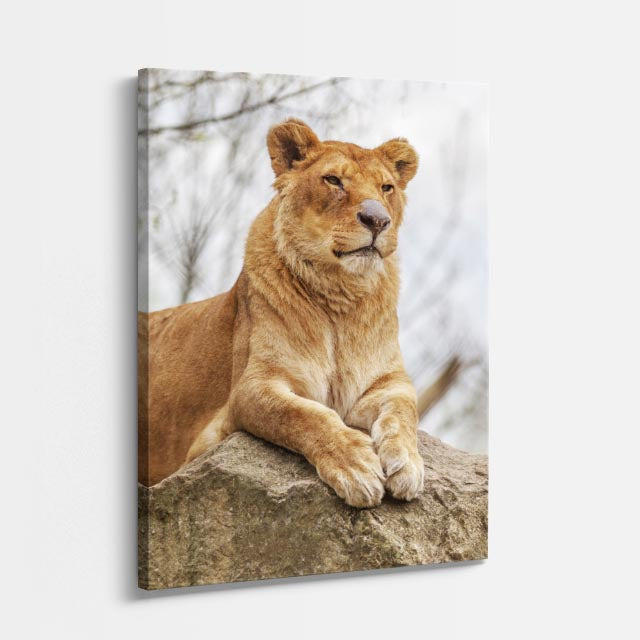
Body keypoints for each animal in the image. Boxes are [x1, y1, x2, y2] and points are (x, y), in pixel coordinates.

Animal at [138, 119, 424, 507]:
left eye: (386, 187)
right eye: (333, 180)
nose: (378, 220)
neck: (341, 296)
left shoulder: (388, 381)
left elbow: (404, 411)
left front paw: (408, 462)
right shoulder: (250, 389)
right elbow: (303, 415)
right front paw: (356, 466)